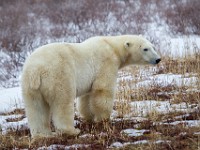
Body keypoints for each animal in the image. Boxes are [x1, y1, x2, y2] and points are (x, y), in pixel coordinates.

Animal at [21, 34, 161, 138]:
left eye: (153, 47)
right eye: (145, 49)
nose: (158, 59)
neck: (112, 46)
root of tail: (36, 70)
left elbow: (86, 98)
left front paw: (89, 117)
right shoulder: (106, 62)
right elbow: (102, 89)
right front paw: (103, 119)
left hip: (30, 87)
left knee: (36, 108)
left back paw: (42, 135)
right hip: (59, 76)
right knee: (63, 102)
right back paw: (71, 131)